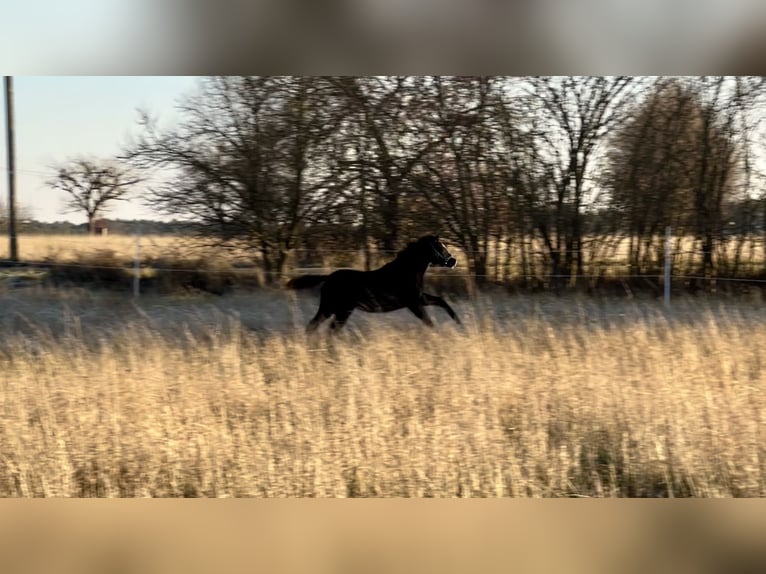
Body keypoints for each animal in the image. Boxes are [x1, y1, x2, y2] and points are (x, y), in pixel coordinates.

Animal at [286, 235, 461, 333]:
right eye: (439, 247)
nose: (453, 261)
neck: (404, 272)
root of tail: (328, 277)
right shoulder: (413, 303)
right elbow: (429, 322)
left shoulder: (420, 298)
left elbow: (441, 301)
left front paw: (459, 323)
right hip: (336, 309)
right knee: (322, 329)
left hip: (336, 310)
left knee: (320, 329)